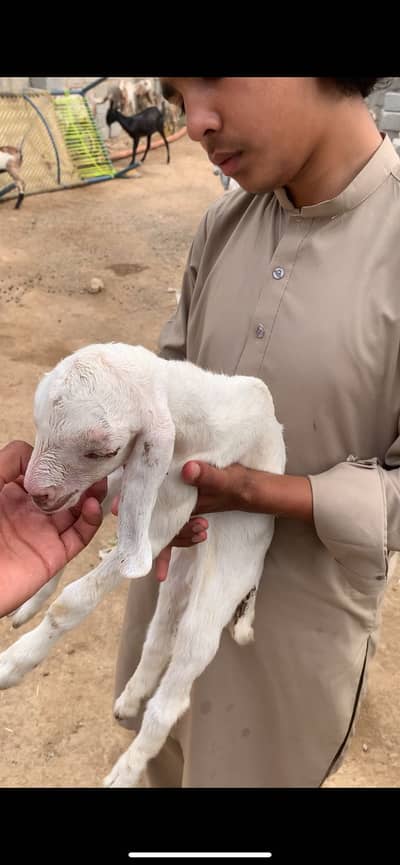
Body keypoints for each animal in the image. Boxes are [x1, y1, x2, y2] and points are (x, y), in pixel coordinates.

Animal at [0, 342, 285, 787]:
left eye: (101, 451)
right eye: (37, 422)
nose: (36, 493)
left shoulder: (173, 500)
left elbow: (75, 600)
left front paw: (12, 664)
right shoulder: (129, 482)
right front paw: (29, 604)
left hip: (231, 571)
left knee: (179, 680)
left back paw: (126, 769)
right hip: (181, 570)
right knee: (160, 633)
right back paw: (131, 699)